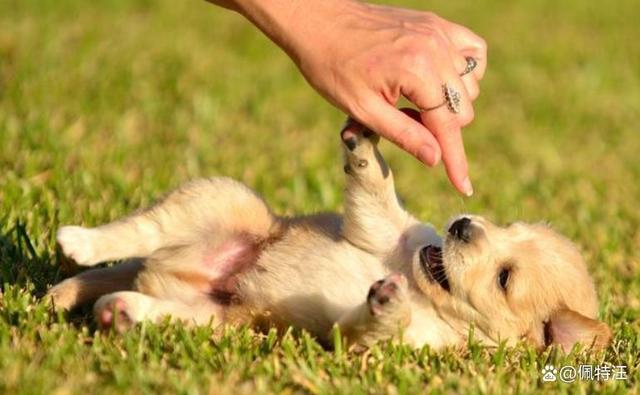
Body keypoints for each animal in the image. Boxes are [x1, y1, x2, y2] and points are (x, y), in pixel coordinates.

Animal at [48, 119, 608, 352]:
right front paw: (364, 141)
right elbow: (375, 188)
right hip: (226, 200)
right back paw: (79, 249)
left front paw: (388, 304)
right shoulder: (388, 232)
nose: (463, 224)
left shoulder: (384, 342)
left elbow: (369, 330)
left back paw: (119, 310)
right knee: (139, 232)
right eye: (506, 227)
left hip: (213, 321)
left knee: (146, 295)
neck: (425, 291)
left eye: (505, 279)